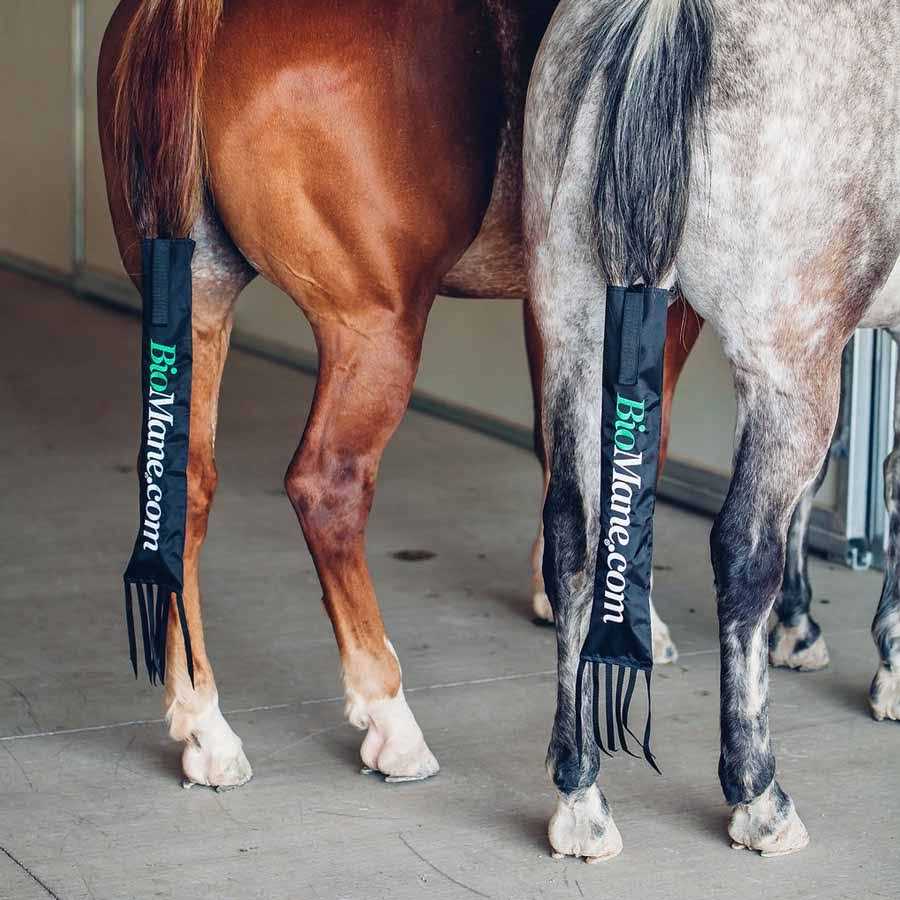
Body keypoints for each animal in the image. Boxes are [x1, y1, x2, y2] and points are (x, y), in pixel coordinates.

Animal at [99, 0, 699, 791]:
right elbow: (633, 454)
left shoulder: (555, 305)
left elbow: (558, 443)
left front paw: (553, 588)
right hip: (374, 326)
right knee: (327, 487)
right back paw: (390, 719)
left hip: (197, 303)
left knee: (182, 488)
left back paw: (207, 728)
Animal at [524, 0, 898, 861]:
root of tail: (660, 18)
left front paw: (801, 627)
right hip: (786, 363)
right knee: (742, 547)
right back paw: (759, 796)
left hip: (573, 321)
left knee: (572, 534)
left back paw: (581, 797)